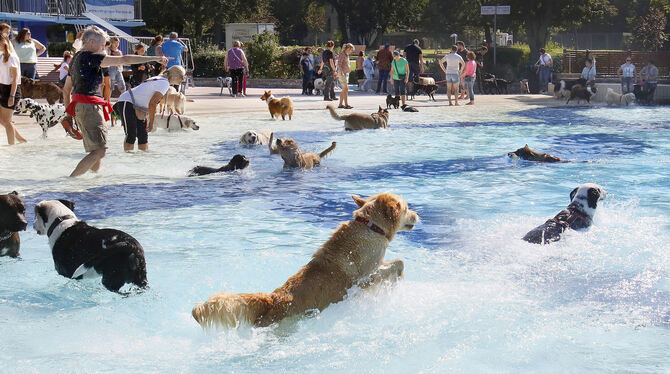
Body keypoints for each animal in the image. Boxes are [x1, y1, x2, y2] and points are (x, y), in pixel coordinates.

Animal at [190, 193, 420, 328]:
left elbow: (397, 262)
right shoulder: (364, 278)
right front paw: (398, 279)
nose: (418, 215)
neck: (370, 227)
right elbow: (399, 262)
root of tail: (271, 298)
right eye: (407, 208)